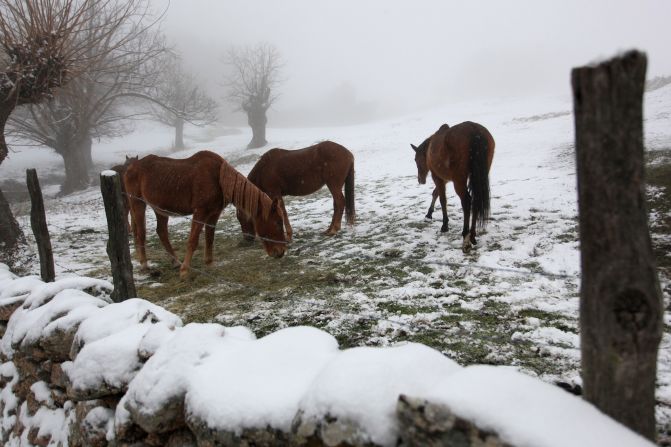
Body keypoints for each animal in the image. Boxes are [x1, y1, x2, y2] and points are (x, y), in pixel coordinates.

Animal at [123, 150, 286, 278]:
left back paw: (175, 262)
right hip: (137, 203)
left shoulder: (214, 213)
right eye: (278, 222)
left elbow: (209, 238)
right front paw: (185, 271)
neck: (218, 178)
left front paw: (209, 263)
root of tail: (131, 167)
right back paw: (145, 265)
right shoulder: (200, 212)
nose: (281, 252)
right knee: (141, 234)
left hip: (161, 209)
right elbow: (193, 241)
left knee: (162, 232)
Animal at [412, 122, 496, 254]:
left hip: (459, 180)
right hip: (478, 176)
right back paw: (472, 235)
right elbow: (436, 193)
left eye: (416, 159)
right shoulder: (445, 179)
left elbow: (442, 199)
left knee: (467, 201)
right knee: (476, 201)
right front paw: (429, 214)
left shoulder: (438, 178)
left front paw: (444, 225)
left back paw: (466, 238)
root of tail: (474, 130)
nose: (420, 180)